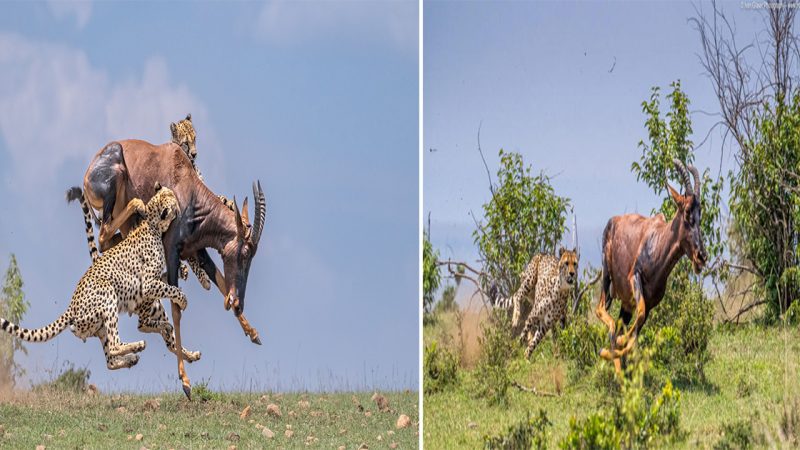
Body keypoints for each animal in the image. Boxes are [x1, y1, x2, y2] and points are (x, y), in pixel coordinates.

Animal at [0, 185, 200, 370]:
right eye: (172, 198)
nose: (180, 203)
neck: (151, 223)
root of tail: (71, 307)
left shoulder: (152, 283)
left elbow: (166, 281)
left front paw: (183, 271)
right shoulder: (148, 285)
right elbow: (170, 289)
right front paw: (183, 300)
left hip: (100, 325)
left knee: (112, 358)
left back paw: (179, 353)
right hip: (107, 294)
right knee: (119, 342)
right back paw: (140, 344)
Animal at [66, 140, 266, 398]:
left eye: (252, 254)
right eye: (245, 252)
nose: (238, 302)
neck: (188, 189)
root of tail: (88, 174)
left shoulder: (196, 251)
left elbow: (220, 280)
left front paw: (253, 334)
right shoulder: (172, 252)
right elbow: (177, 310)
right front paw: (186, 383)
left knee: (111, 239)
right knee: (104, 235)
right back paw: (138, 208)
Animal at [592, 158, 708, 372]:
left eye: (700, 213)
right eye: (686, 211)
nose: (701, 256)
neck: (656, 240)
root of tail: (613, 221)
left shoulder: (651, 302)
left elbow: (636, 331)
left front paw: (621, 343)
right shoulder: (635, 278)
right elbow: (639, 315)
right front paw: (617, 343)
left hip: (625, 304)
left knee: (619, 325)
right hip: (607, 279)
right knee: (601, 309)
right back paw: (612, 356)